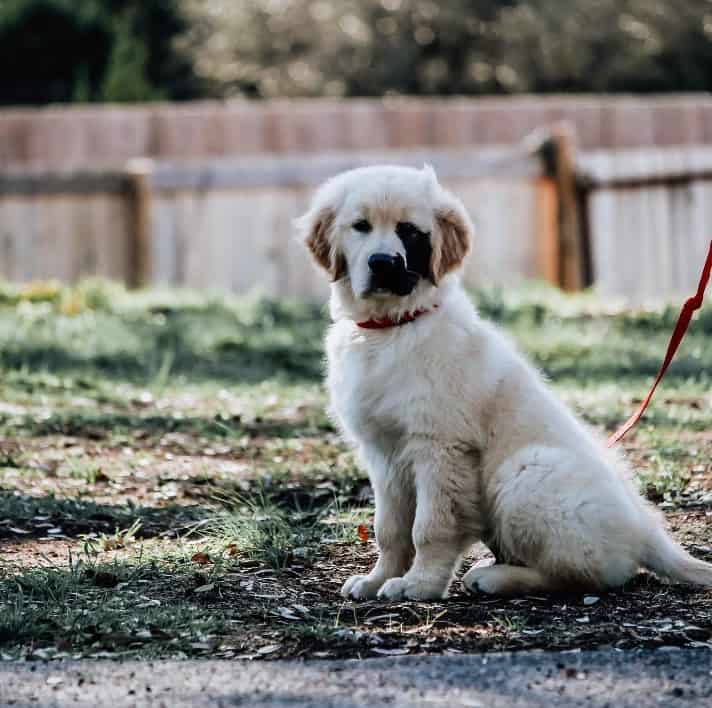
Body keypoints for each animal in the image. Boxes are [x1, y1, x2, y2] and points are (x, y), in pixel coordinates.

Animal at [298, 165, 712, 596]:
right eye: (360, 226)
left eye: (409, 231)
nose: (382, 263)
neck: (392, 328)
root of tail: (646, 531)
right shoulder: (384, 454)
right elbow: (390, 529)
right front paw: (378, 579)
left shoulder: (440, 447)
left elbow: (430, 526)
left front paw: (421, 585)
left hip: (523, 474)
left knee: (585, 573)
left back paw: (496, 577)